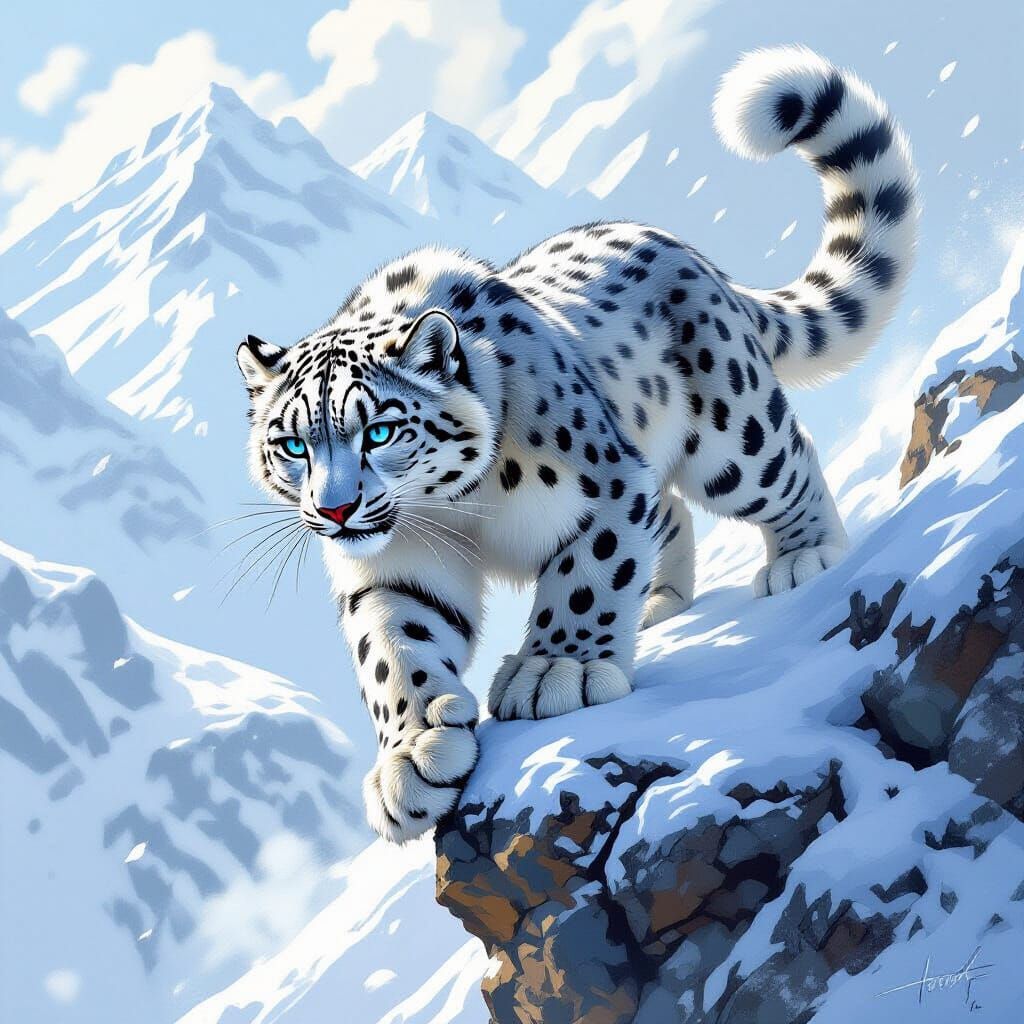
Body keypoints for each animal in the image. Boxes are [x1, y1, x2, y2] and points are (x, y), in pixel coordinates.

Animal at [236, 46, 917, 842]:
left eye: (379, 430)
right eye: (292, 445)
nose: (336, 511)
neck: (456, 507)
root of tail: (687, 251)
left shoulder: (605, 484)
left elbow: (587, 574)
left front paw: (553, 672)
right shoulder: (394, 562)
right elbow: (392, 646)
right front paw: (414, 754)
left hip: (730, 434)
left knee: (782, 462)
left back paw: (802, 556)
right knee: (669, 512)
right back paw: (659, 603)